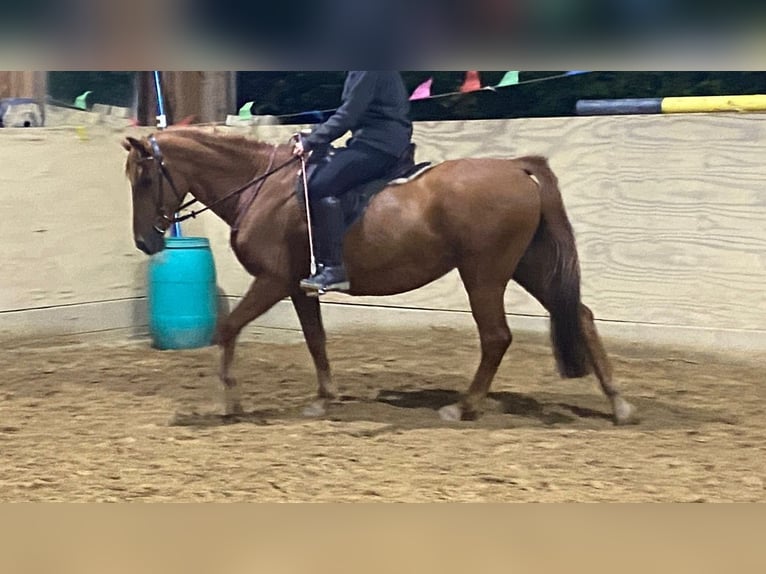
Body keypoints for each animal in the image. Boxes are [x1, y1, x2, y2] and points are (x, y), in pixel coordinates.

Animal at [123, 128, 640, 426]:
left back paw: (464, 406)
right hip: (525, 266)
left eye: (145, 179)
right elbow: (316, 340)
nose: (146, 242)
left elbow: (228, 328)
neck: (264, 188)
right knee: (582, 315)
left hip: (485, 272)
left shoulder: (271, 281)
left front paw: (231, 402)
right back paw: (618, 404)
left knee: (496, 336)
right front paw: (325, 399)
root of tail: (514, 168)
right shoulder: (298, 287)